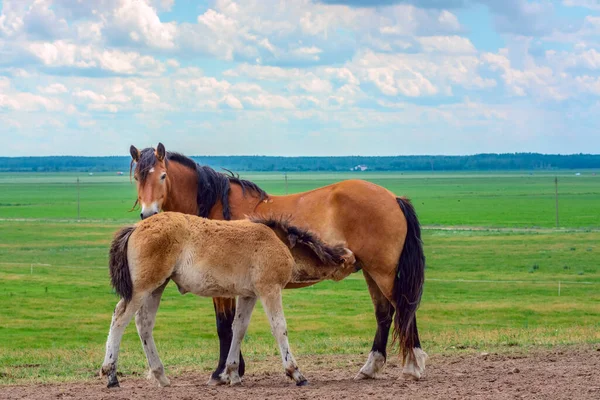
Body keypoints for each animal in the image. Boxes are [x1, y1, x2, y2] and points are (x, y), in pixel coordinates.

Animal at [101, 214, 356, 390]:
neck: (280, 242)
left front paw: (232, 374)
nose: (356, 262)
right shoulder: (269, 290)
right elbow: (279, 328)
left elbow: (239, 329)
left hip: (157, 288)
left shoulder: (248, 295)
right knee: (120, 318)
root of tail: (136, 227)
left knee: (144, 324)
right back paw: (111, 374)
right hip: (142, 289)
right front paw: (296, 373)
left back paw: (160, 376)